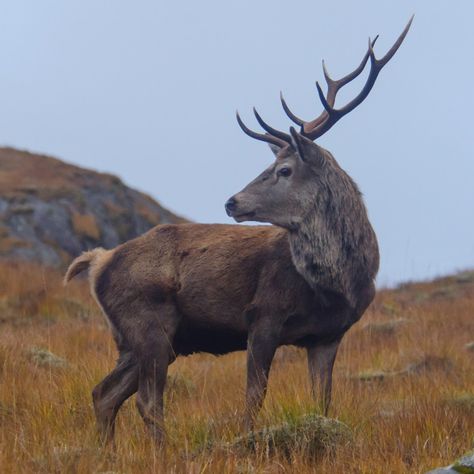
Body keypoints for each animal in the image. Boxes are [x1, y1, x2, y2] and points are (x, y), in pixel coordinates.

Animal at [65, 18, 412, 446]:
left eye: (284, 170)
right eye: (272, 167)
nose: (231, 202)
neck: (335, 285)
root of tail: (98, 262)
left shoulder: (327, 335)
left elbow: (322, 402)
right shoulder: (262, 315)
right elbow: (254, 396)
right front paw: (248, 442)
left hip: (145, 340)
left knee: (104, 393)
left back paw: (108, 452)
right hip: (148, 326)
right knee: (147, 401)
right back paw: (161, 451)